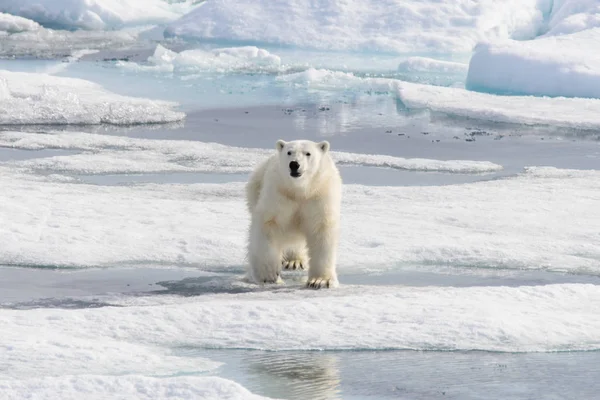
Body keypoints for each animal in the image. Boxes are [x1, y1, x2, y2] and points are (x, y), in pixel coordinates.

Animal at [246, 140, 342, 288]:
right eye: (289, 152)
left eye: (308, 153)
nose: (294, 164)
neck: (300, 190)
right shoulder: (278, 194)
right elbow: (268, 225)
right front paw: (268, 275)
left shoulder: (319, 196)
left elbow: (321, 230)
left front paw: (320, 280)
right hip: (255, 186)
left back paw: (295, 261)